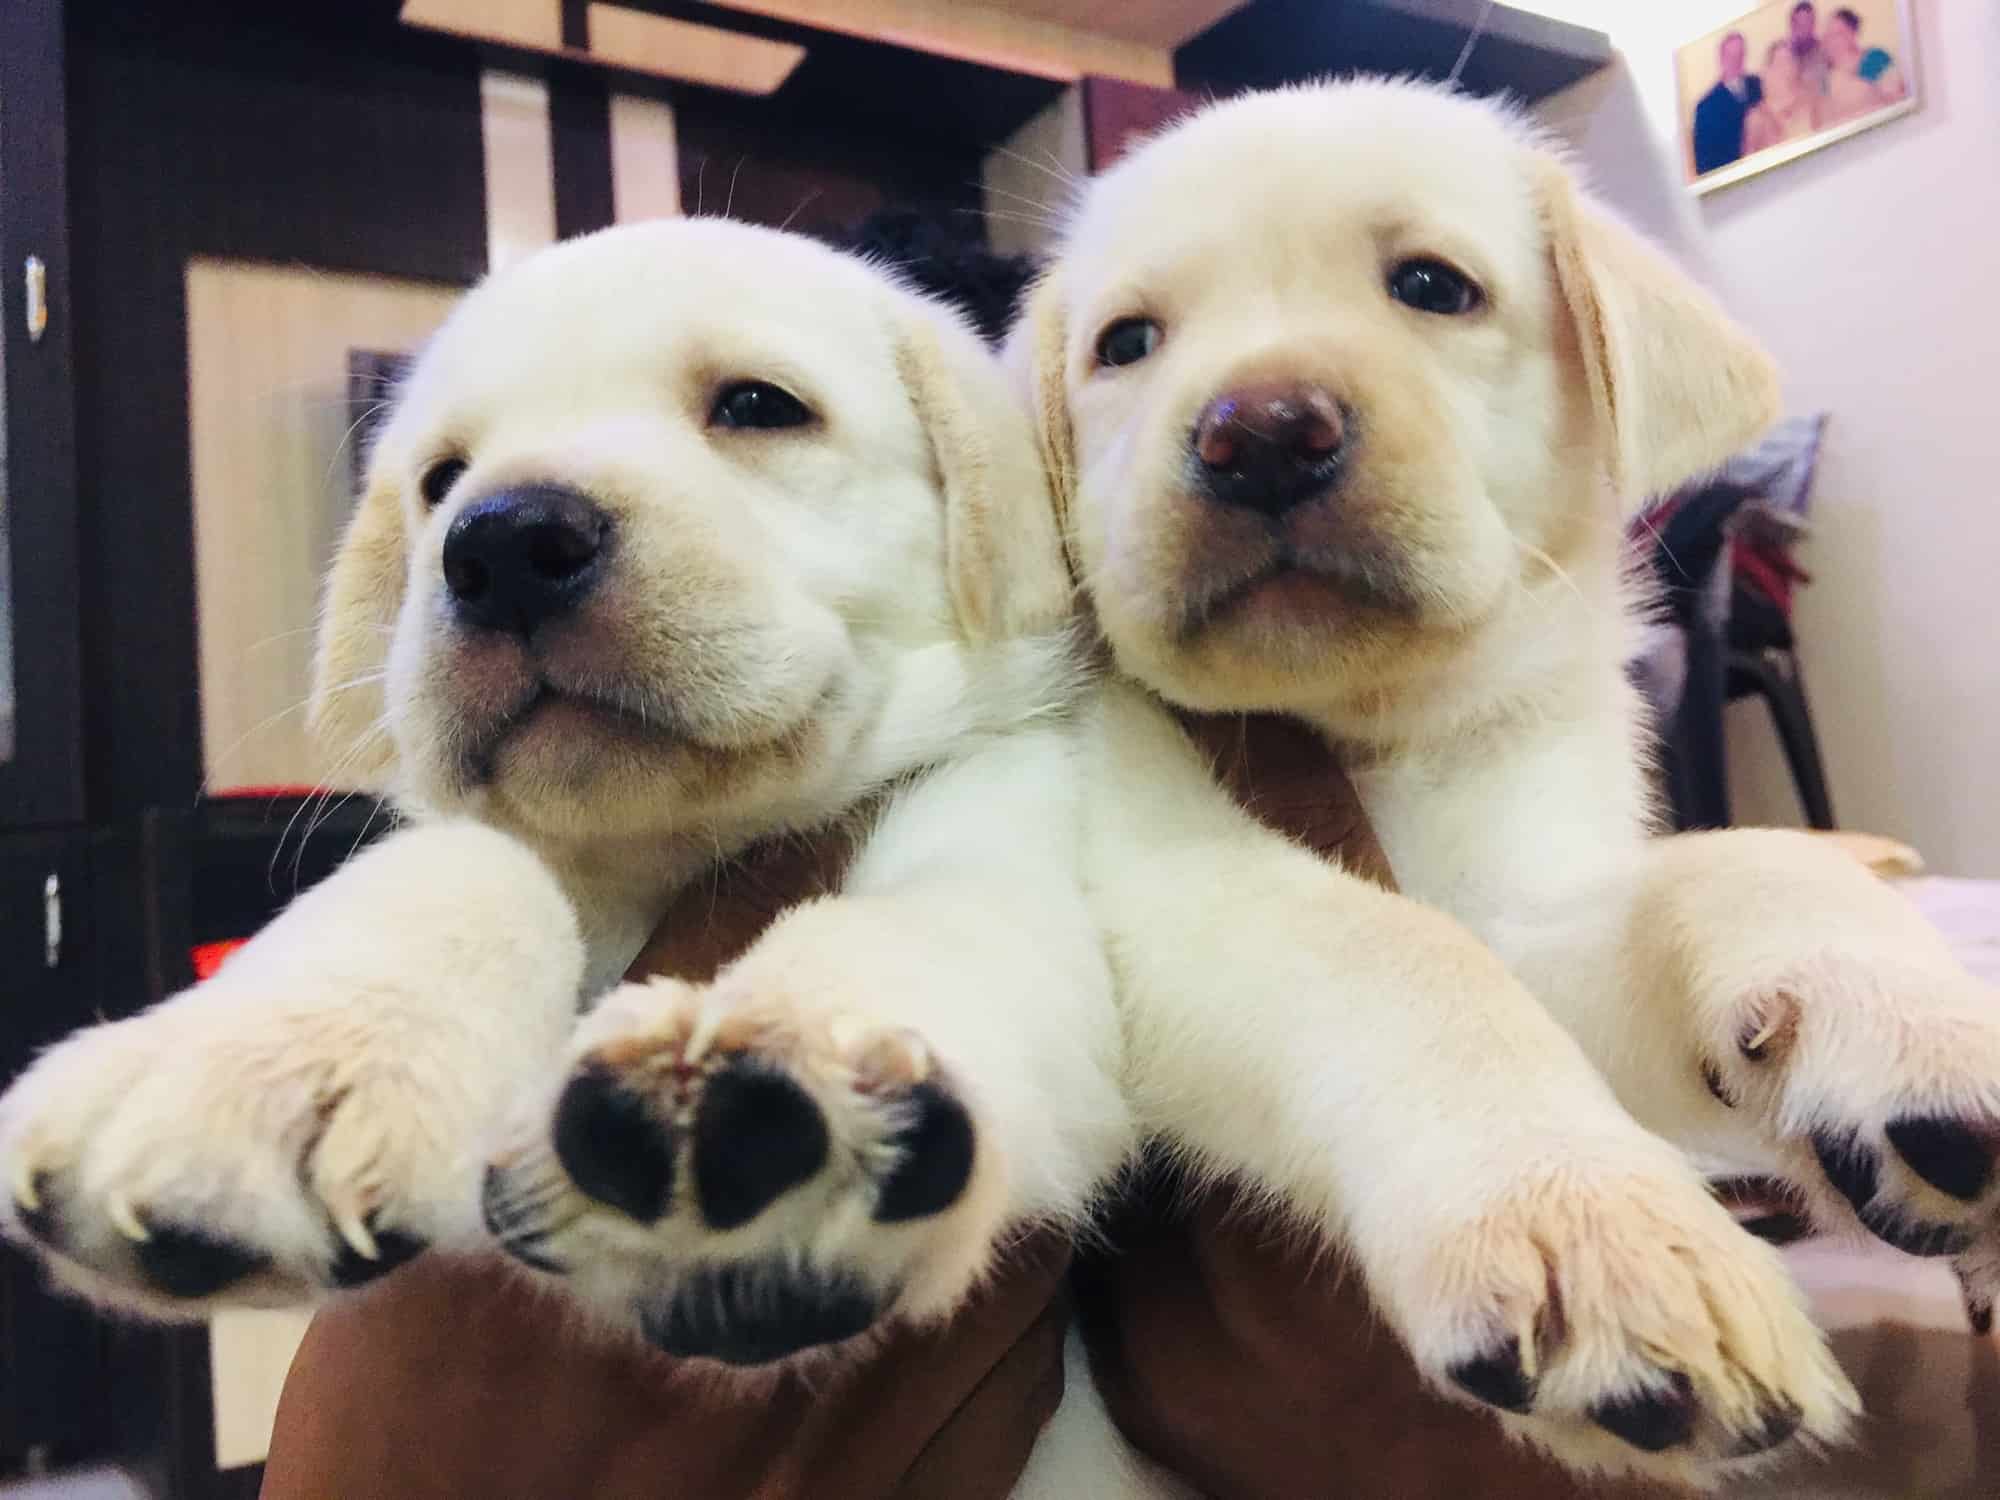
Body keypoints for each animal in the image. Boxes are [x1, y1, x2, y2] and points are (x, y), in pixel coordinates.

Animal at [1009, 76, 2000, 1479]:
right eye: (1124, 343)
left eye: (1432, 286)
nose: (1256, 435)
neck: (1380, 730)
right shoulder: (1146, 876)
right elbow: (1399, 955)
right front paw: (1585, 1219)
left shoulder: (1531, 901)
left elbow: (1736, 864)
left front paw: (1902, 1020)